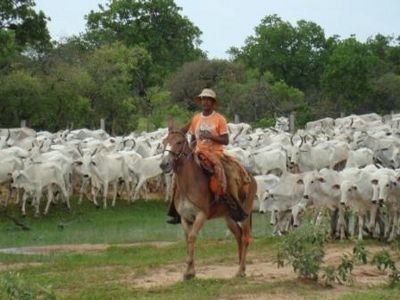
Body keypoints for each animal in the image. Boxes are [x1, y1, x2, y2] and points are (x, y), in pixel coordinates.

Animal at [159, 124, 256, 278]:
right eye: (164, 142)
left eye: (179, 142)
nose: (164, 164)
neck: (189, 183)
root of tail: (251, 177)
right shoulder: (185, 218)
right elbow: (187, 239)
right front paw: (190, 271)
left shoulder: (201, 215)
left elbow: (192, 237)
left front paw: (189, 272)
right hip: (229, 217)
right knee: (238, 235)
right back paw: (242, 267)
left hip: (245, 213)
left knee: (245, 237)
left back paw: (240, 271)